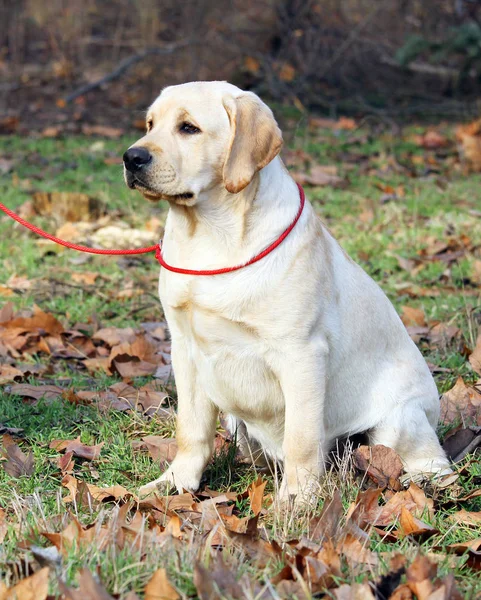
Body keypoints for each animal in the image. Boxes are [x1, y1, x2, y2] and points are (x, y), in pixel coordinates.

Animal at [123, 81, 450, 502]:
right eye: (150, 124)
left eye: (189, 128)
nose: (131, 157)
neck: (210, 235)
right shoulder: (185, 348)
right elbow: (190, 430)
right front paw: (176, 483)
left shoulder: (301, 354)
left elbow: (302, 437)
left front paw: (297, 500)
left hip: (399, 420)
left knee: (434, 462)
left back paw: (422, 482)